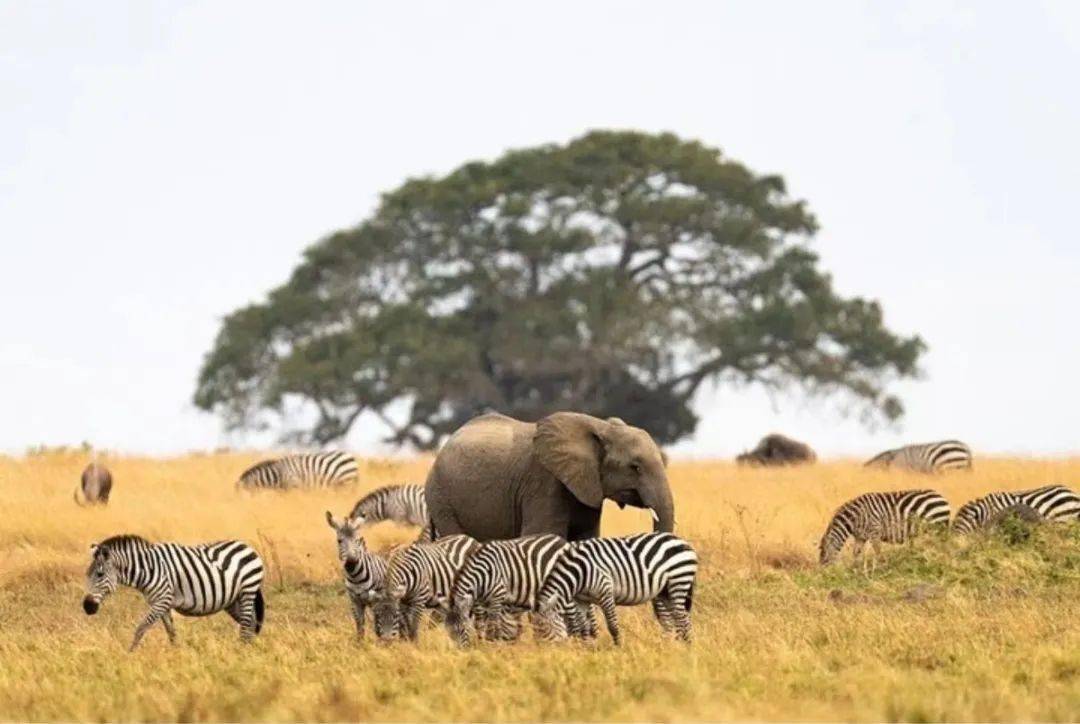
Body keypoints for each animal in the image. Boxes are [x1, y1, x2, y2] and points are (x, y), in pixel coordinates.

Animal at [81, 533, 264, 652]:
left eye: (100, 574)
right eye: (87, 575)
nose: (87, 607)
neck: (148, 569)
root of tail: (246, 546)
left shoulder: (162, 600)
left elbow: (141, 628)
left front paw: (130, 653)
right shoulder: (162, 604)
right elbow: (171, 632)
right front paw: (176, 653)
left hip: (247, 591)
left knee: (246, 625)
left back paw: (241, 651)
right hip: (232, 600)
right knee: (251, 622)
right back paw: (250, 649)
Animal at [423, 414, 669, 544]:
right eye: (635, 467)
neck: (601, 426)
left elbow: (585, 539)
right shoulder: (544, 483)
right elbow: (543, 535)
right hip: (442, 498)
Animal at [444, 533, 574, 648]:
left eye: (462, 629)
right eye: (450, 633)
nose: (462, 652)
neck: (482, 575)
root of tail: (562, 540)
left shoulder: (498, 595)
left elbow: (494, 622)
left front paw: (493, 642)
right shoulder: (481, 602)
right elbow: (481, 623)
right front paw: (484, 643)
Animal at [533, 533, 699, 648]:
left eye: (545, 631)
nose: (545, 654)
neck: (578, 571)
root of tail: (681, 540)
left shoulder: (605, 589)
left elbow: (612, 625)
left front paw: (619, 648)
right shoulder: (581, 599)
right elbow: (583, 626)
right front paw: (586, 649)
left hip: (679, 580)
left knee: (681, 617)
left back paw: (687, 646)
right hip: (665, 591)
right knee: (675, 618)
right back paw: (673, 646)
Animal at [816, 490, 954, 570]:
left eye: (824, 559)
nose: (824, 576)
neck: (854, 518)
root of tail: (942, 498)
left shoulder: (874, 531)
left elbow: (878, 552)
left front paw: (883, 567)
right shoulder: (861, 537)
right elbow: (856, 553)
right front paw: (854, 568)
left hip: (937, 527)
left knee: (942, 547)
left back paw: (940, 562)